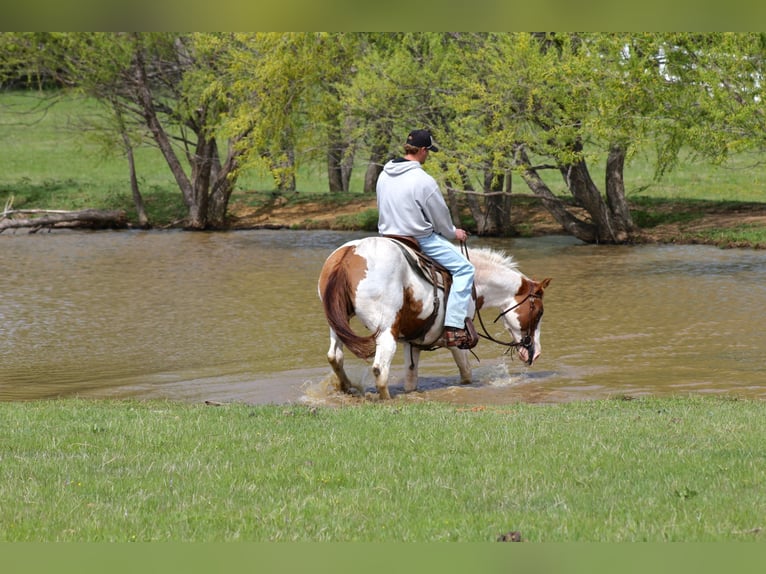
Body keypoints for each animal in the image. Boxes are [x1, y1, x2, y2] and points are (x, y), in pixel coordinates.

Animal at [317, 236, 551, 400]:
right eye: (539, 312)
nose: (537, 352)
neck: (474, 282)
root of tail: (350, 253)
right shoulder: (458, 338)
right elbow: (466, 372)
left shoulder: (412, 343)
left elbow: (411, 380)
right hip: (385, 331)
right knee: (380, 369)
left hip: (337, 324)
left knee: (334, 357)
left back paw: (347, 388)